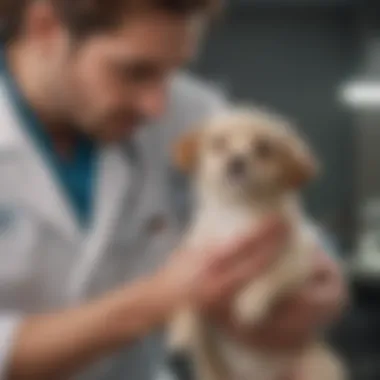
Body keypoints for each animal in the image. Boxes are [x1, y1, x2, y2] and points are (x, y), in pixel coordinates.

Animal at [168, 105, 346, 380]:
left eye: (264, 149)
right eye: (218, 143)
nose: (237, 161)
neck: (237, 211)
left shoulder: (300, 259)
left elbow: (274, 275)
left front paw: (251, 301)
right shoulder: (197, 257)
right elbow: (188, 290)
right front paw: (182, 326)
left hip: (319, 367)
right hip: (209, 368)